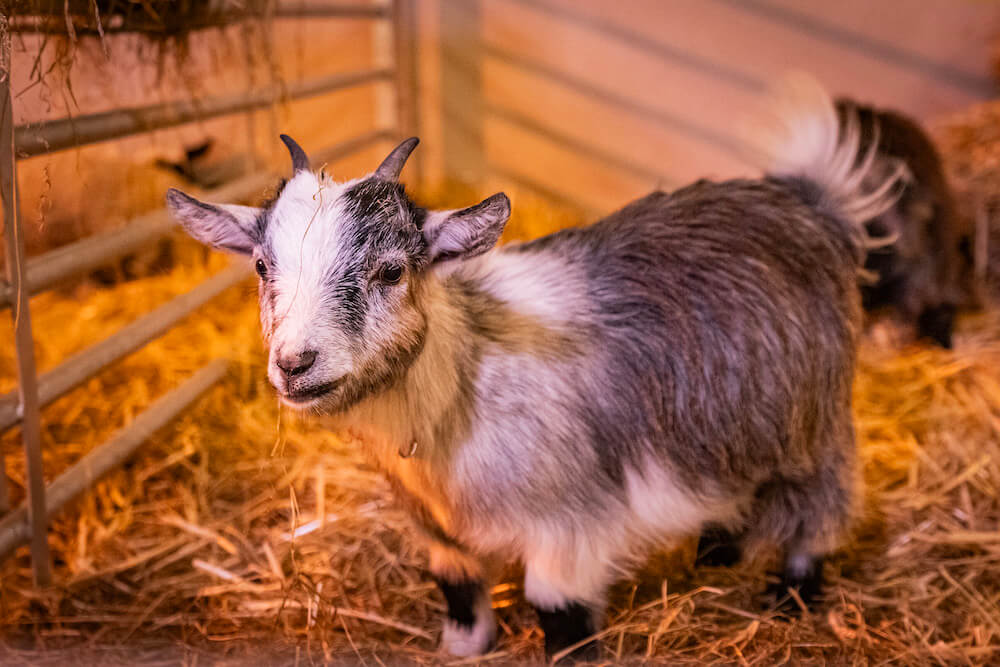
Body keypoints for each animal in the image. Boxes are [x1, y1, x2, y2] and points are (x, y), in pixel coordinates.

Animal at [166, 75, 902, 660]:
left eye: (392, 270)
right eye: (262, 267)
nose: (296, 363)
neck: (465, 382)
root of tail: (809, 202)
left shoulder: (568, 526)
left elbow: (562, 616)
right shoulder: (441, 534)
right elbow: (460, 597)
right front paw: (462, 646)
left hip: (815, 426)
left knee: (821, 510)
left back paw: (791, 594)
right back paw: (716, 550)